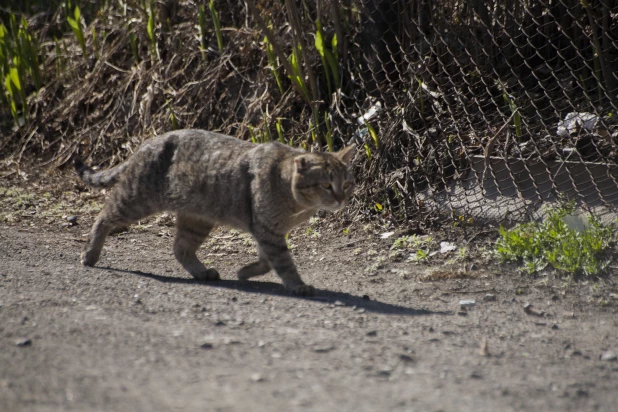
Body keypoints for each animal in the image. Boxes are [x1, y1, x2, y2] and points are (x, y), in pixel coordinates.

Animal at [76, 130, 356, 294]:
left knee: (181, 248)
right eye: (326, 185)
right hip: (136, 200)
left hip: (197, 220)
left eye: (346, 183)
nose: (342, 199)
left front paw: (245, 272)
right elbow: (283, 263)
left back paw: (201, 272)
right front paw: (297, 285)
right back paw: (90, 254)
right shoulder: (267, 230)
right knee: (103, 216)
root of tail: (148, 141)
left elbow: (267, 261)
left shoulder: (266, 231)